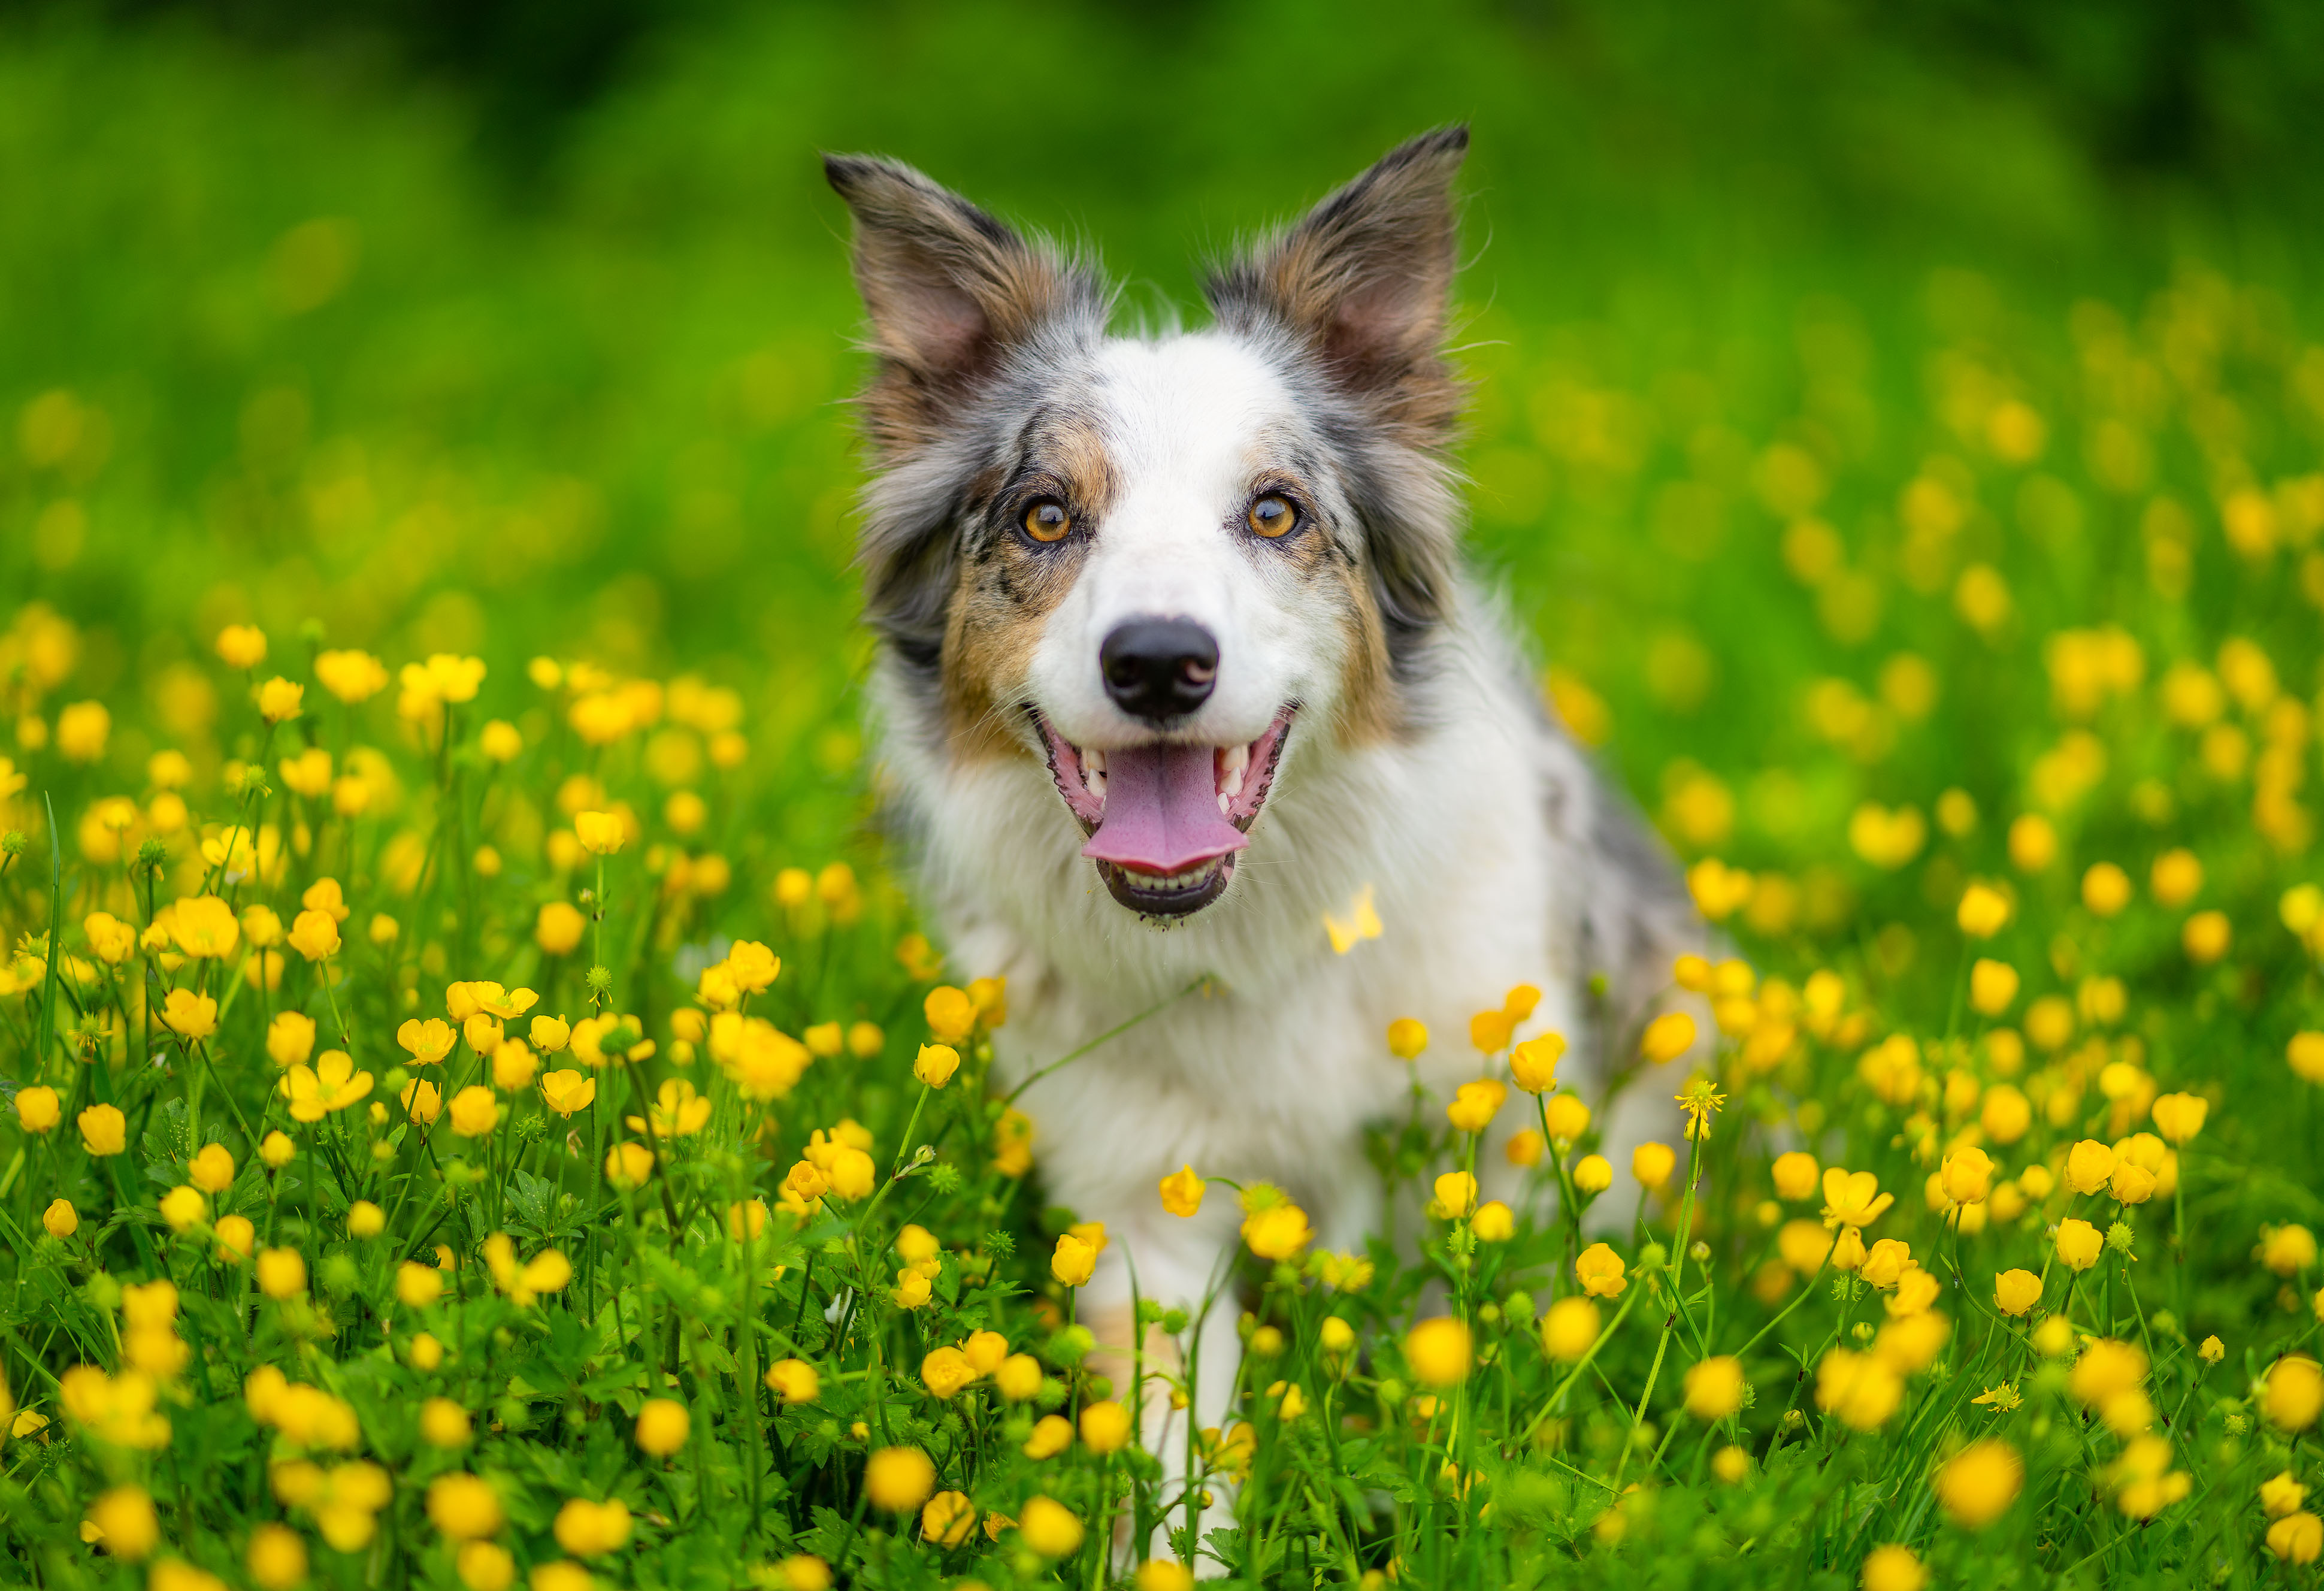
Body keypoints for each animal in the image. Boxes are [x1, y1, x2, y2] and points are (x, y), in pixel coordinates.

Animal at [827, 130, 1701, 1560]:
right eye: (1045, 518)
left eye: (1277, 512)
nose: (1157, 662)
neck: (1249, 928)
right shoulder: (1142, 1206)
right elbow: (1173, 1437)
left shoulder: (1476, 1154)